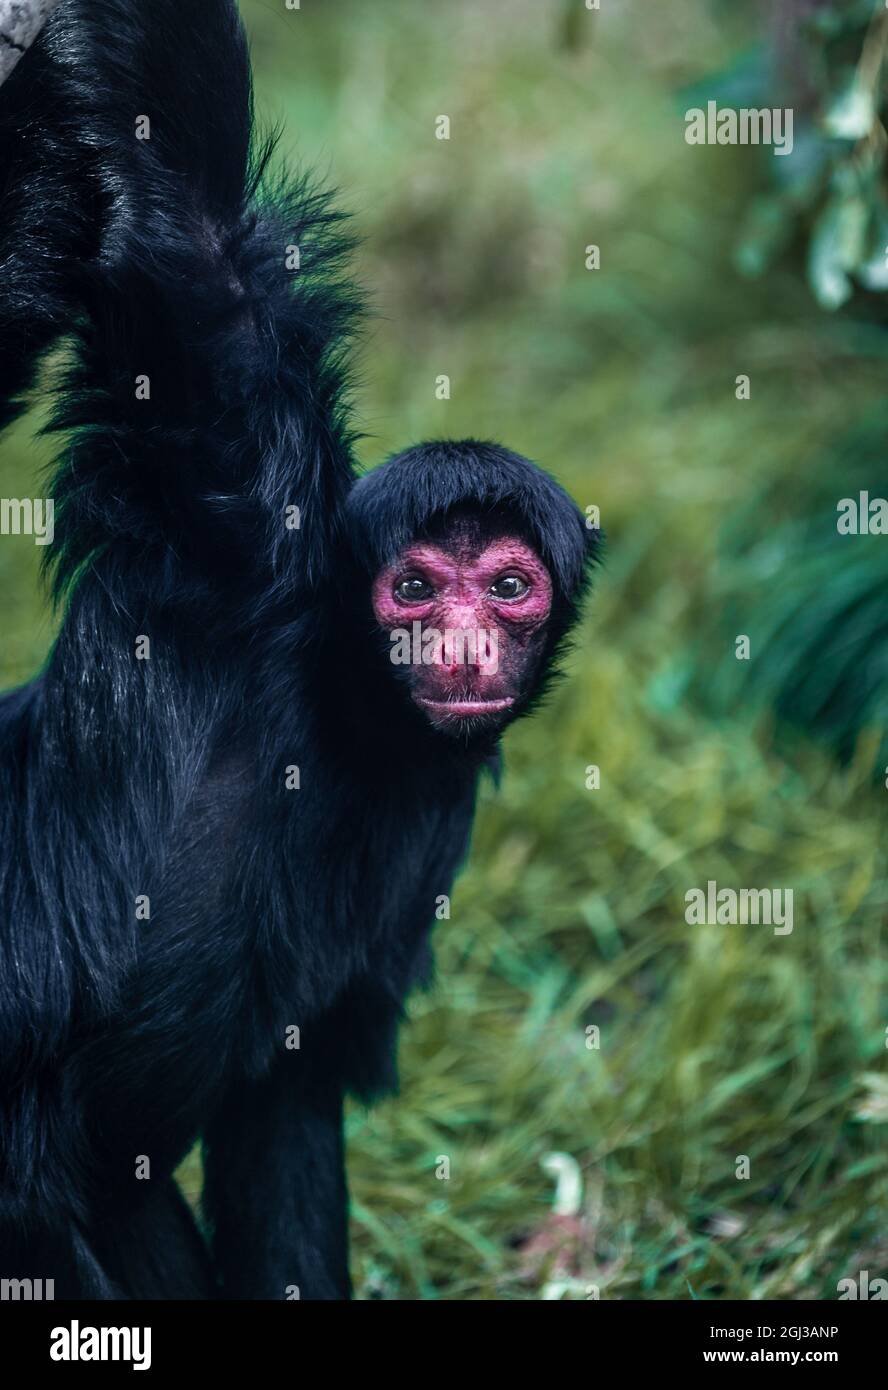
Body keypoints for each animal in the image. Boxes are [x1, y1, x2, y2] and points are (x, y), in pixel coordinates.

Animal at [0, 2, 600, 1301]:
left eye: (508, 587)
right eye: (414, 586)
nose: (461, 639)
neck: (344, 715)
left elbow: (286, 1094)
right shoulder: (231, 529)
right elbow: (187, 207)